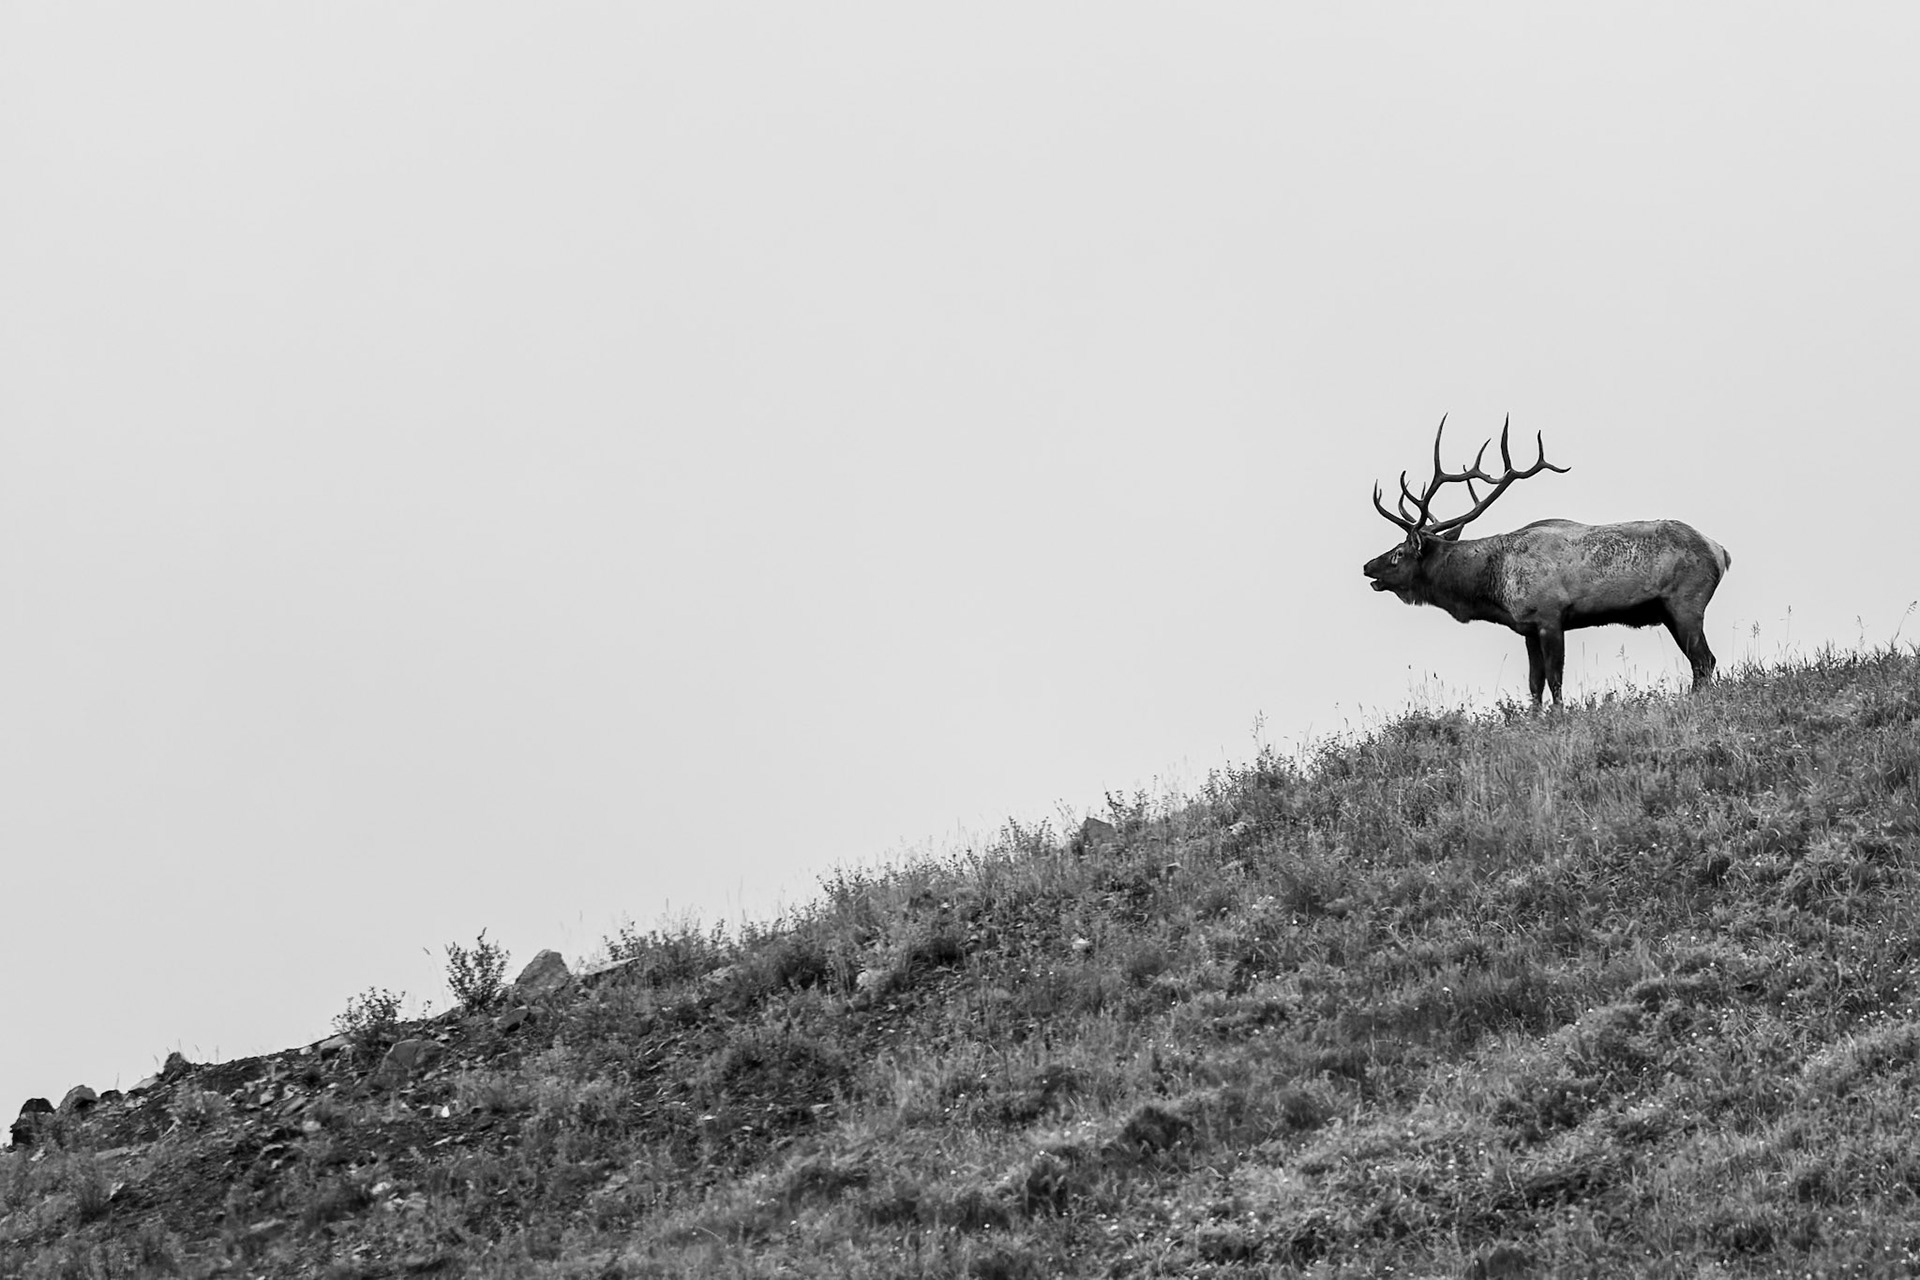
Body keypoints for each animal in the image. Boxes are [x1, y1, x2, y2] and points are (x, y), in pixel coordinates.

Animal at [1362, 417, 1731, 708]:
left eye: (1397, 554)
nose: (1367, 566)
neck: (1493, 586)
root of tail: (1721, 552)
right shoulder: (1527, 627)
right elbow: (1534, 683)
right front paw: (1535, 718)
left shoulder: (1550, 616)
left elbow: (1554, 679)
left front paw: (1557, 716)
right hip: (1668, 612)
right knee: (1702, 661)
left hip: (1687, 602)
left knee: (1704, 660)